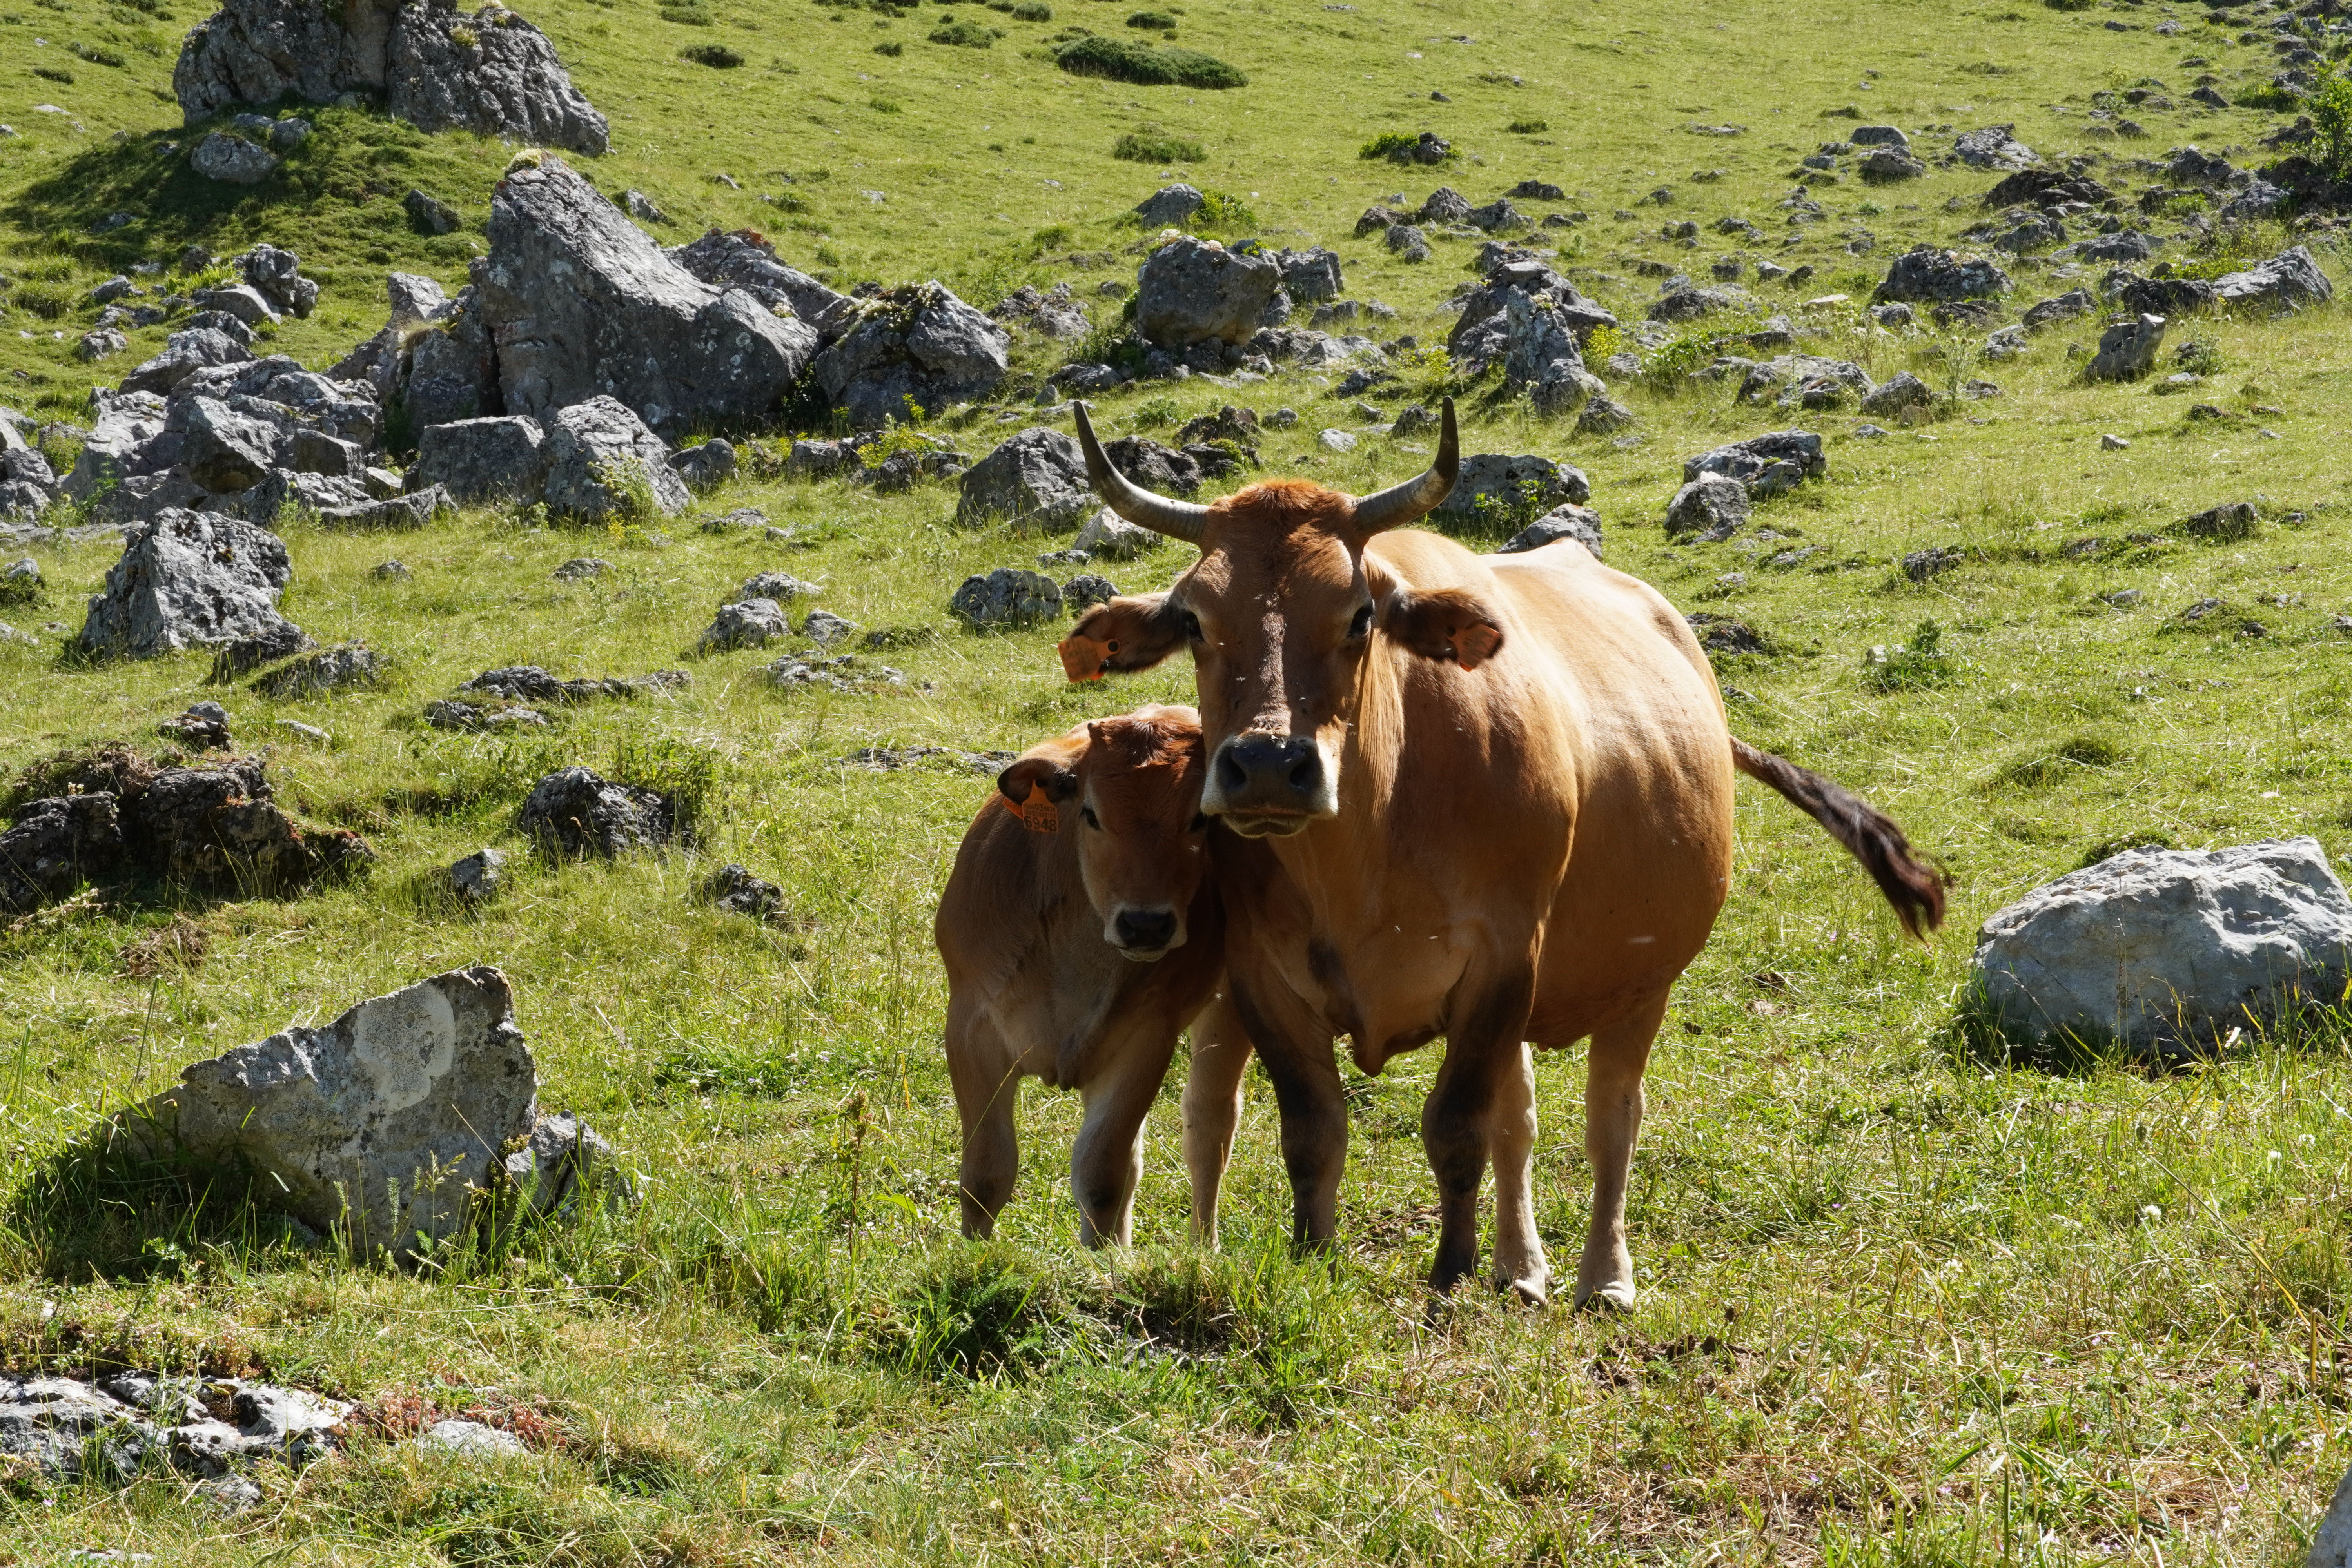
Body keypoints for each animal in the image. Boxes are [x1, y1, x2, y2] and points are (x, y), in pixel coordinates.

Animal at [936, 704, 1257, 1246]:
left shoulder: (1148, 1036)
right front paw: (973, 1254)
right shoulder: (971, 1023)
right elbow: (985, 1173)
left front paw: (1103, 1262)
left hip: (1232, 1001)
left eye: (1199, 819)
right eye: (1091, 814)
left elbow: (1101, 1174)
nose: (1145, 923)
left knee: (1208, 1124)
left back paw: (1203, 1246)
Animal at [1054, 399, 1944, 1307]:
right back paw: (1522, 1267)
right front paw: (1316, 1255)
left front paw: (1452, 1267)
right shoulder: (1264, 974)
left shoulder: (1503, 955)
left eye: (1361, 615)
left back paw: (1603, 1275)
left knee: (1611, 1116)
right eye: (1194, 619)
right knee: (1521, 1120)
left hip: (1643, 979)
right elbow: (1315, 1128)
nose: (1268, 765)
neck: (1362, 857)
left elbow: (1456, 1126)